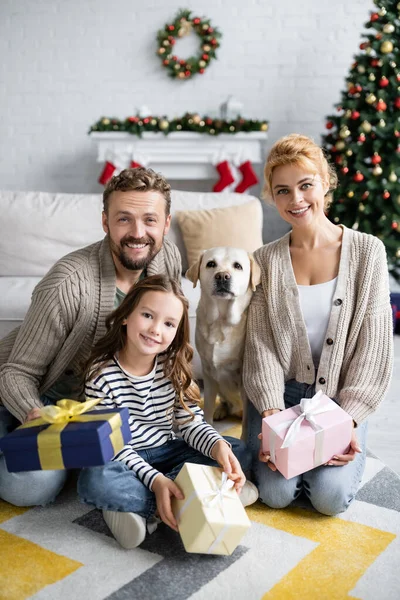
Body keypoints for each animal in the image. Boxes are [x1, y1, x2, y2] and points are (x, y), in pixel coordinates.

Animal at [186, 246, 260, 424]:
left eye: (238, 266)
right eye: (211, 264)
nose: (222, 276)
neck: (221, 320)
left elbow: (246, 423)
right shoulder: (209, 375)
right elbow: (207, 410)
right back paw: (221, 410)